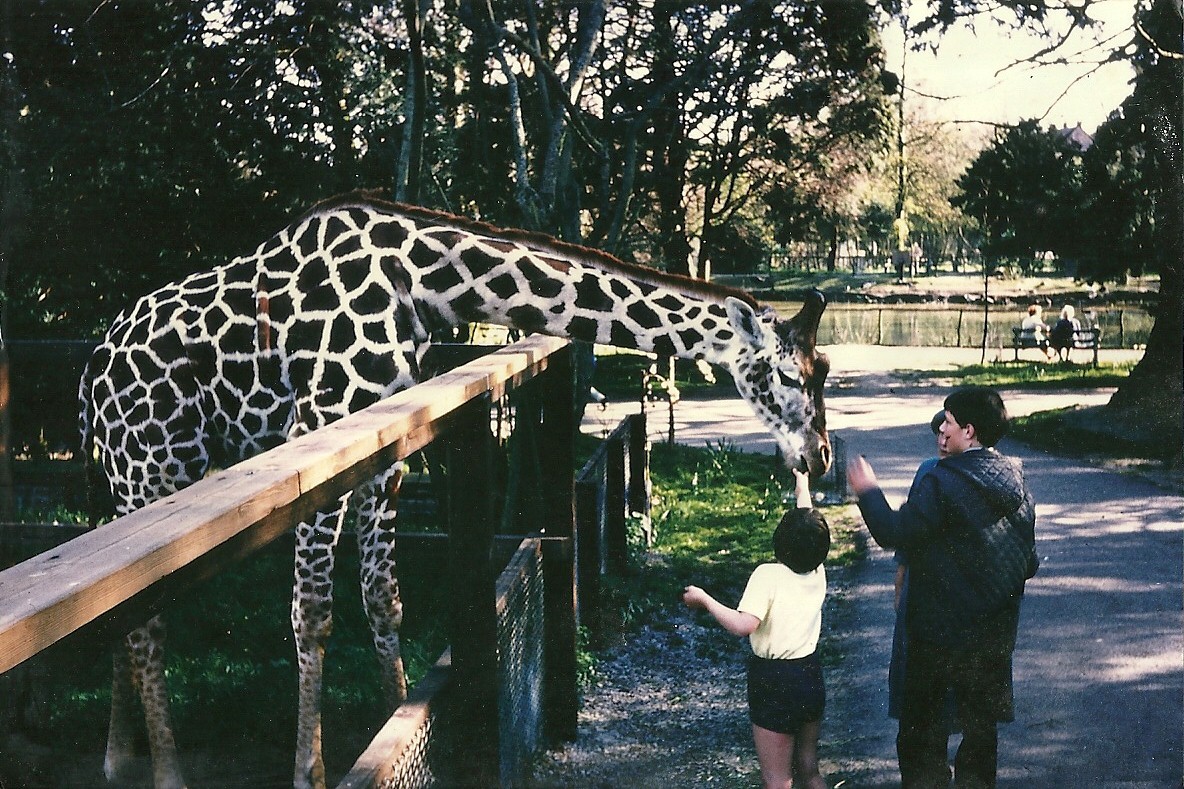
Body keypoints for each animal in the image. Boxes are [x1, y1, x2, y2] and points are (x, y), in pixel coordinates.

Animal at [79, 191, 831, 789]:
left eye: (821, 370)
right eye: (788, 375)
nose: (819, 457)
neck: (423, 286)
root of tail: (91, 374)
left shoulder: (384, 448)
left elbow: (384, 597)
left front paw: (399, 721)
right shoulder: (320, 426)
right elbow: (312, 612)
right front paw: (309, 772)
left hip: (129, 474)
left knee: (124, 606)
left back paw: (116, 756)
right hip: (153, 460)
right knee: (145, 618)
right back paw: (165, 773)